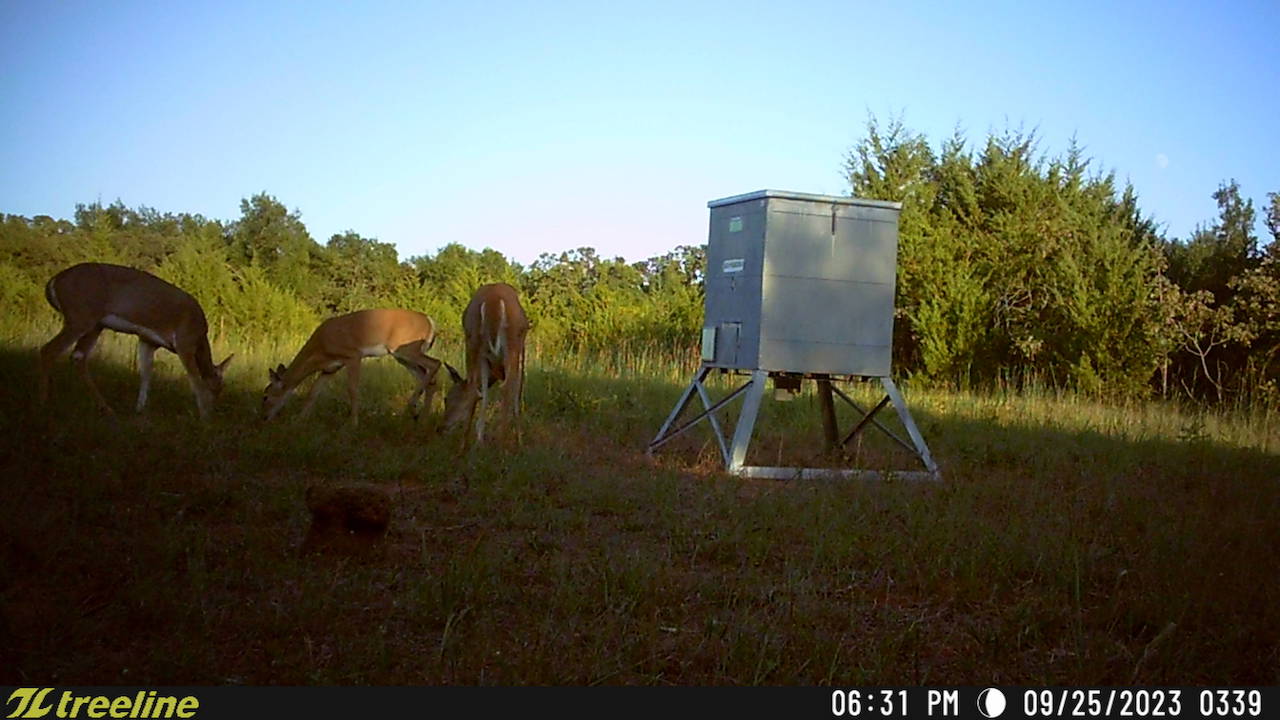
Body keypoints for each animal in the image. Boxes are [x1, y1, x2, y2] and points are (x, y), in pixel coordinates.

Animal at [38, 262, 235, 420]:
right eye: (219, 387)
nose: (215, 409)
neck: (200, 337)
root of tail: (54, 281)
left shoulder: (147, 340)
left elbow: (146, 374)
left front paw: (140, 410)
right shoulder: (184, 341)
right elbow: (195, 381)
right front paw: (205, 418)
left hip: (95, 324)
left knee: (78, 356)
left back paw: (107, 409)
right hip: (80, 316)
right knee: (49, 350)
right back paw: (45, 404)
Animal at [261, 308, 443, 425]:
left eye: (265, 396)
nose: (264, 418)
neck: (321, 348)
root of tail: (430, 321)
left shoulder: (353, 355)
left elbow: (352, 389)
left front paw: (353, 423)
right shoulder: (330, 368)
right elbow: (313, 392)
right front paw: (299, 419)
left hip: (405, 349)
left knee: (436, 363)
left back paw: (412, 406)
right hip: (403, 357)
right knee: (430, 379)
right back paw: (421, 418)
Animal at [440, 283, 530, 448]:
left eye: (447, 398)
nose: (440, 428)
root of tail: (493, 300)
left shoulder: (487, 360)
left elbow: (485, 395)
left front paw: (480, 439)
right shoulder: (521, 352)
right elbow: (517, 391)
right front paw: (519, 440)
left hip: (473, 341)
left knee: (474, 388)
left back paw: (464, 446)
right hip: (511, 344)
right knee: (505, 387)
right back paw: (502, 443)